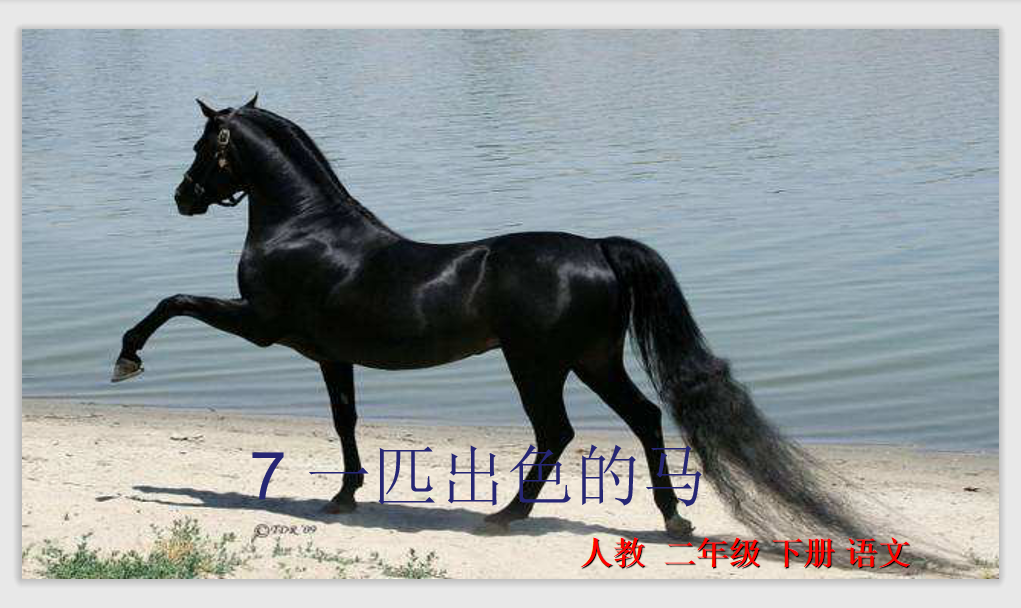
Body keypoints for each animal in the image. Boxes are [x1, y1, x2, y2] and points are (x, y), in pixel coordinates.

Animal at [112, 95, 865, 541]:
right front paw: (346, 496)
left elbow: (173, 302)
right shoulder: (331, 354)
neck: (305, 227)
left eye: (202, 145)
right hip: (591, 360)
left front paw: (126, 358)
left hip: (538, 363)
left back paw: (508, 514)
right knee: (644, 417)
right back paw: (672, 519)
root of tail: (597, 248)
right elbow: (344, 420)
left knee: (558, 432)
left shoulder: (263, 325)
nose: (182, 197)